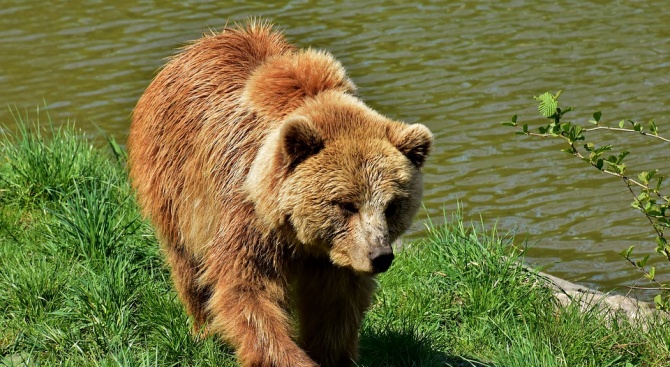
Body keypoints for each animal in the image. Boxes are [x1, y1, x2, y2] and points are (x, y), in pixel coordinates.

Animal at [129, 20, 434, 367]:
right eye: (346, 204)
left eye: (392, 205)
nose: (379, 256)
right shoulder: (246, 218)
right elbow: (247, 292)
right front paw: (293, 357)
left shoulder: (336, 257)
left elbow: (335, 305)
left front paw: (331, 354)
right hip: (173, 183)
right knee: (187, 265)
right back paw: (203, 330)